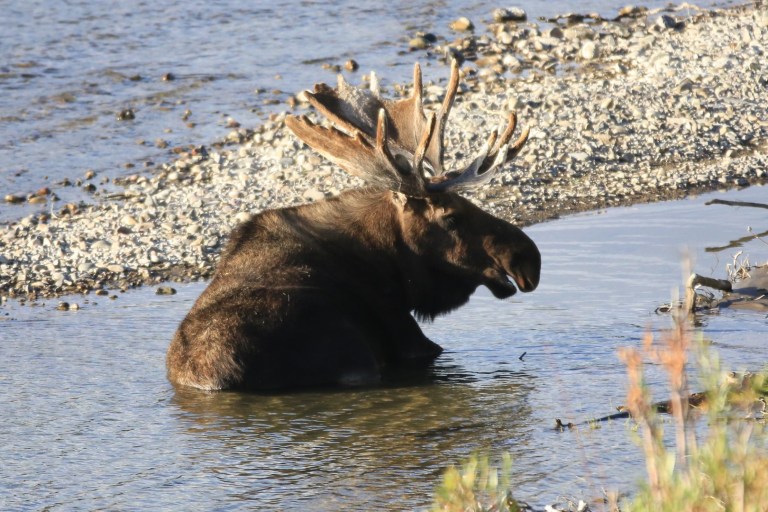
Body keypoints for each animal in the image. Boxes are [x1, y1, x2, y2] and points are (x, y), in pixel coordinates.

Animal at [166, 61, 541, 390]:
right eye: (450, 216)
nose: (528, 258)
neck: (387, 260)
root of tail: (219, 376)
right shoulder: (407, 334)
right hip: (355, 356)